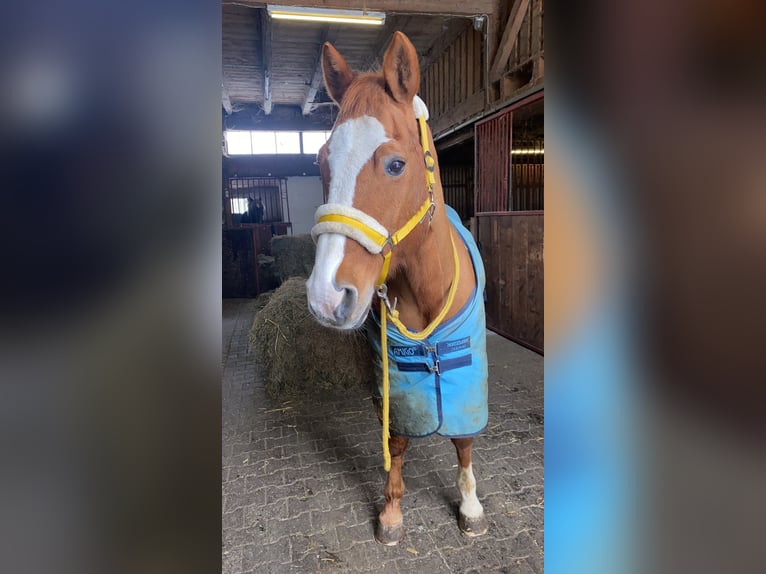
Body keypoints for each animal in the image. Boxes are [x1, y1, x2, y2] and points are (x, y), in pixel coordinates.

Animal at [306, 32, 489, 545]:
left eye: (394, 165)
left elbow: (464, 440)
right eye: (321, 160)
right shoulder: (394, 376)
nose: (326, 296)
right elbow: (397, 438)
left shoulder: (466, 374)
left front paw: (470, 506)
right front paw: (391, 510)